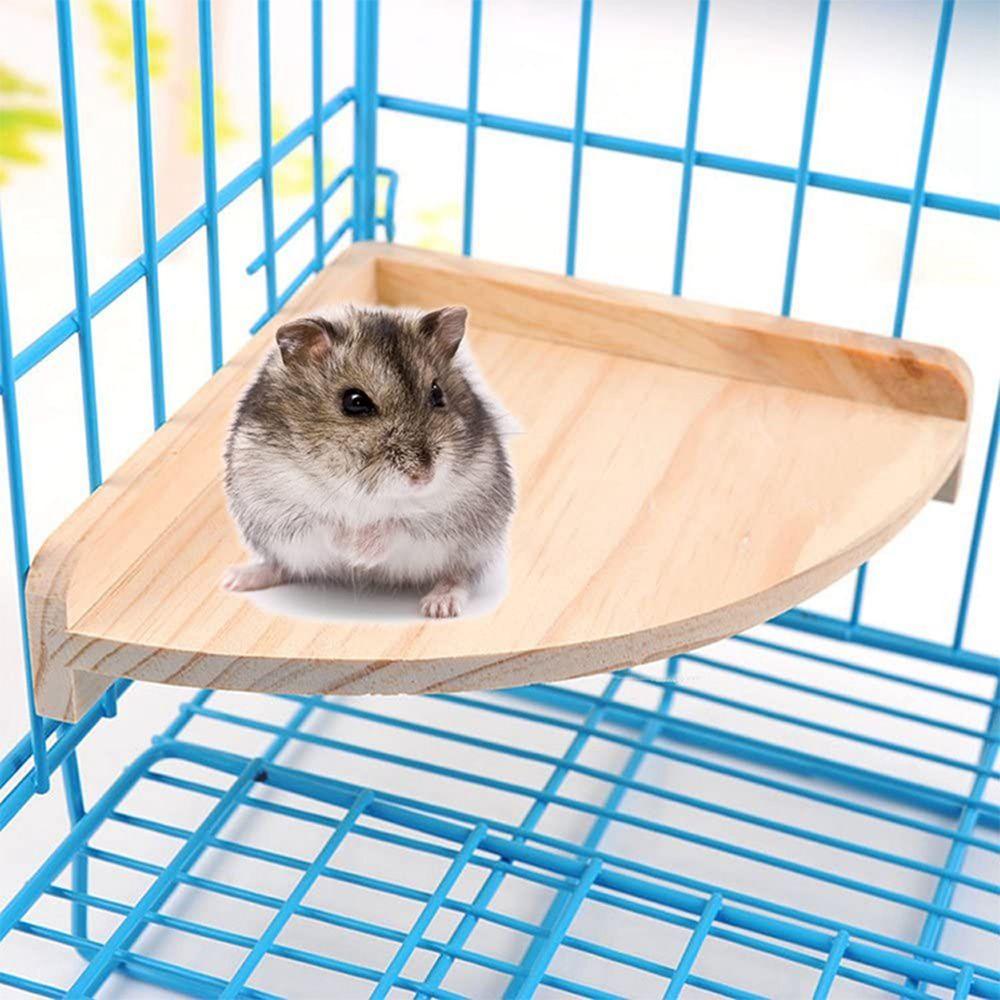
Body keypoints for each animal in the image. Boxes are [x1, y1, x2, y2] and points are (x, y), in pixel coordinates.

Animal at [222, 304, 515, 618]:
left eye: (437, 393)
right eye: (355, 401)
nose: (424, 476)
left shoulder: (457, 504)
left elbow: (399, 524)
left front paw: (363, 556)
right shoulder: (281, 504)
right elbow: (327, 523)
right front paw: (354, 554)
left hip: (473, 546)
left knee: (460, 573)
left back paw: (439, 606)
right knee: (284, 567)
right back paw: (234, 579)